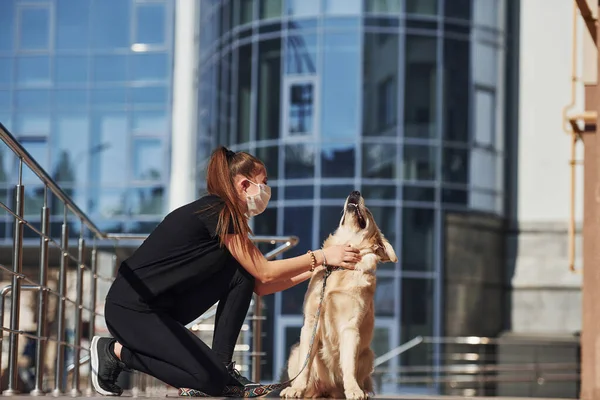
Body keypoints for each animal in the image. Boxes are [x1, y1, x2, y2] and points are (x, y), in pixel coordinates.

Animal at [282, 191, 398, 400]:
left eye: (368, 211)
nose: (355, 192)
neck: (337, 269)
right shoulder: (311, 323)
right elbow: (305, 366)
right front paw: (296, 388)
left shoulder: (350, 327)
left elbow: (349, 365)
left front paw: (353, 390)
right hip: (296, 351)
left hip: (368, 355)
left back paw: (359, 390)